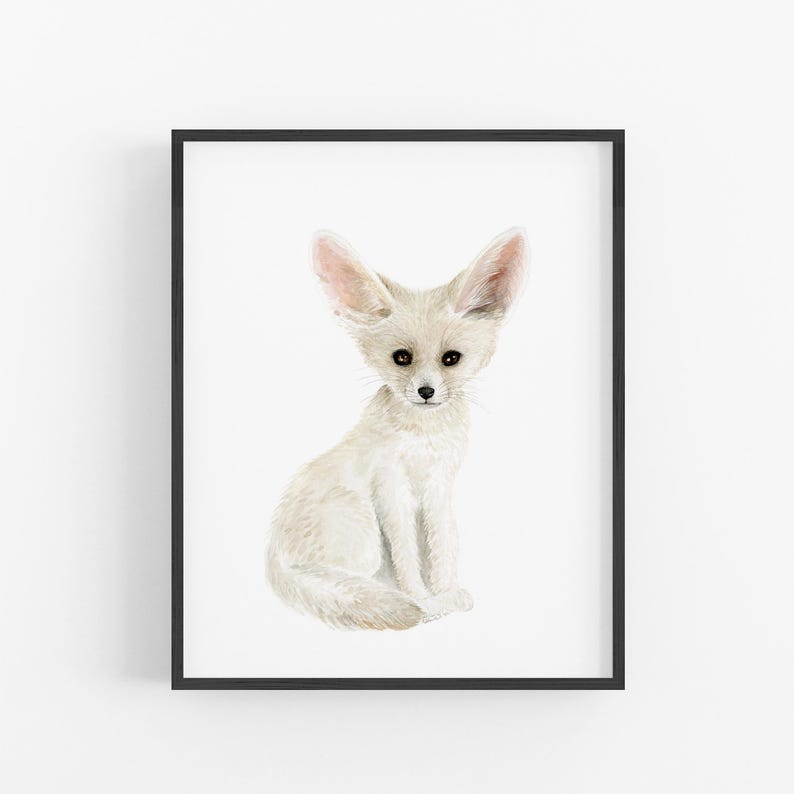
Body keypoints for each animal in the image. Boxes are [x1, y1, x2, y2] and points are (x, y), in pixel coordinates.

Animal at [267, 227, 528, 630]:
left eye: (451, 359)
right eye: (401, 358)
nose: (426, 392)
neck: (424, 438)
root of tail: (276, 558)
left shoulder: (438, 487)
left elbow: (443, 544)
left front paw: (445, 591)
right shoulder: (390, 489)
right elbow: (406, 555)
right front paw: (423, 600)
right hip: (362, 526)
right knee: (342, 582)